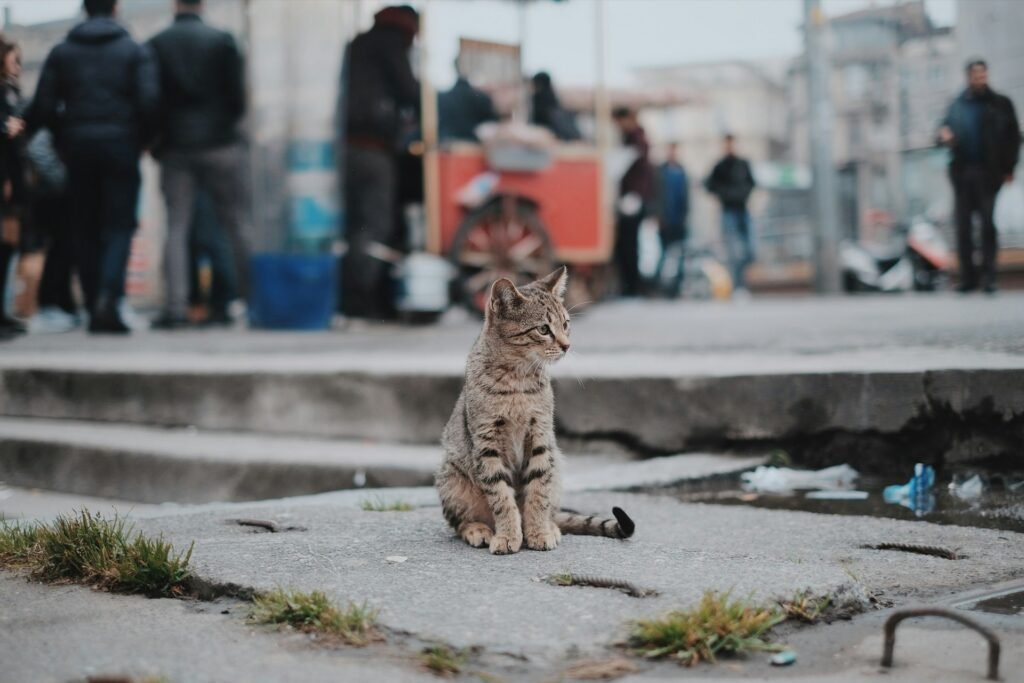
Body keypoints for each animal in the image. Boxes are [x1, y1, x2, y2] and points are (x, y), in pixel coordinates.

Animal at [438, 266, 634, 557]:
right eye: (543, 329)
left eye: (566, 324)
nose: (566, 345)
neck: (518, 380)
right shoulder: (487, 443)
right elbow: (501, 497)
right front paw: (508, 535)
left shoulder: (541, 436)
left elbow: (539, 492)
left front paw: (538, 532)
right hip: (451, 479)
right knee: (460, 521)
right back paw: (479, 530)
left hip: (557, 464)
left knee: (552, 508)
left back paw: (550, 526)